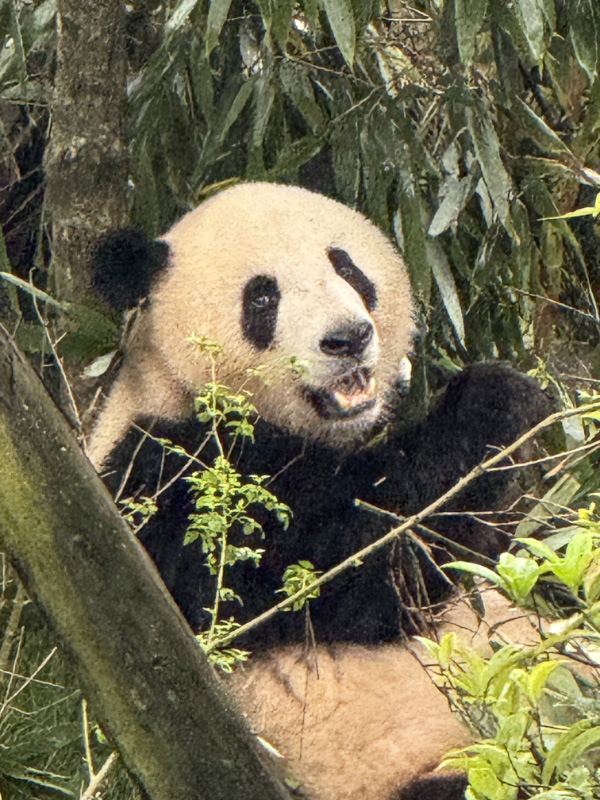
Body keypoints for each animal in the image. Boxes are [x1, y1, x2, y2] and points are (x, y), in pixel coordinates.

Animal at [88, 183, 551, 800]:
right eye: (263, 298)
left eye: (346, 266)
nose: (348, 339)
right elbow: (360, 568)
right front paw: (496, 399)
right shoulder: (170, 483)